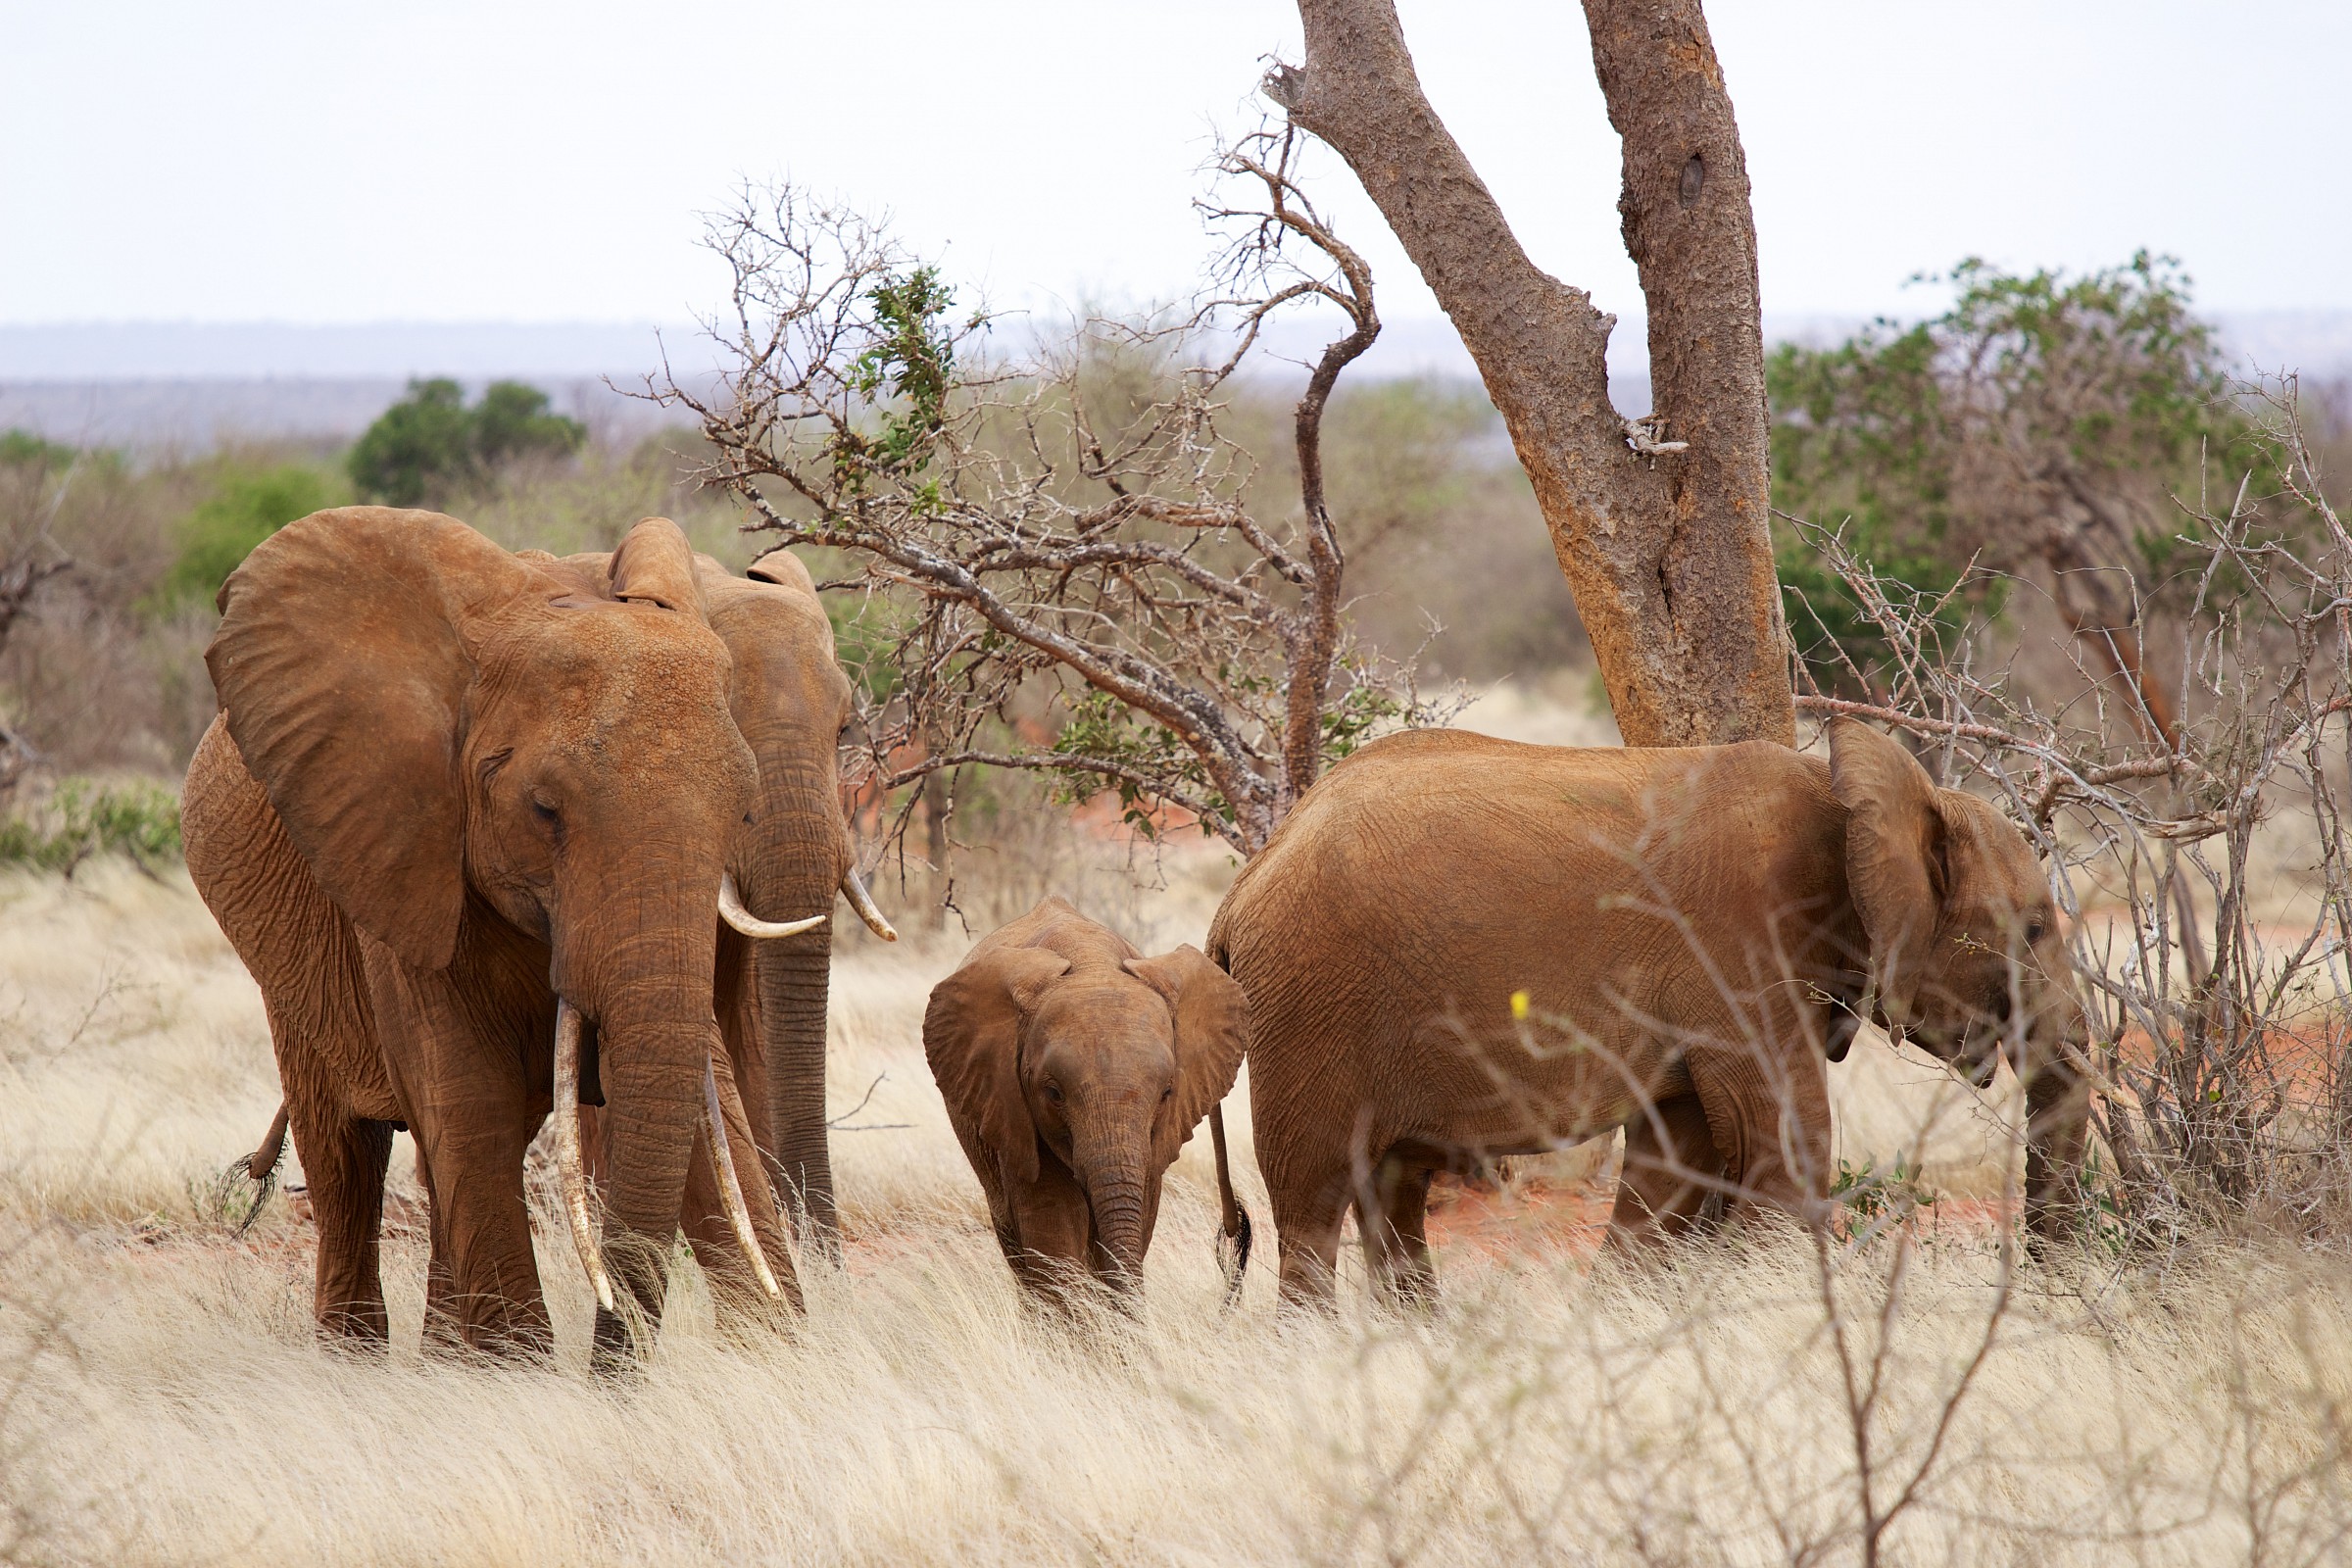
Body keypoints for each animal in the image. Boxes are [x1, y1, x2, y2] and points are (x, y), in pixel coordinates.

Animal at [185, 506, 836, 1364]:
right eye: (544, 811)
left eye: (741, 807)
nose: (613, 1356)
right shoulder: (404, 851)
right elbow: (471, 1100)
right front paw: (514, 1371)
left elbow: (702, 1101)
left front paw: (775, 1346)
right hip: (289, 961)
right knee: (348, 1155)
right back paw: (357, 1361)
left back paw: (440, 1363)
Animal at [922, 898, 1250, 1303]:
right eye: (1053, 1093)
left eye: (1166, 1093)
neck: (1092, 965)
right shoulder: (1014, 1111)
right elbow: (1053, 1229)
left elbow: (1139, 1214)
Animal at [1206, 719, 2092, 1307]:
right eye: (2034, 928)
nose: (2042, 1289)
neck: (1856, 796)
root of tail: (1241, 889)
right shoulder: (1738, 945)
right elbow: (1780, 1139)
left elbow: (1678, 1156)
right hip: (1309, 1008)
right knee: (1312, 1203)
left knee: (1391, 1196)